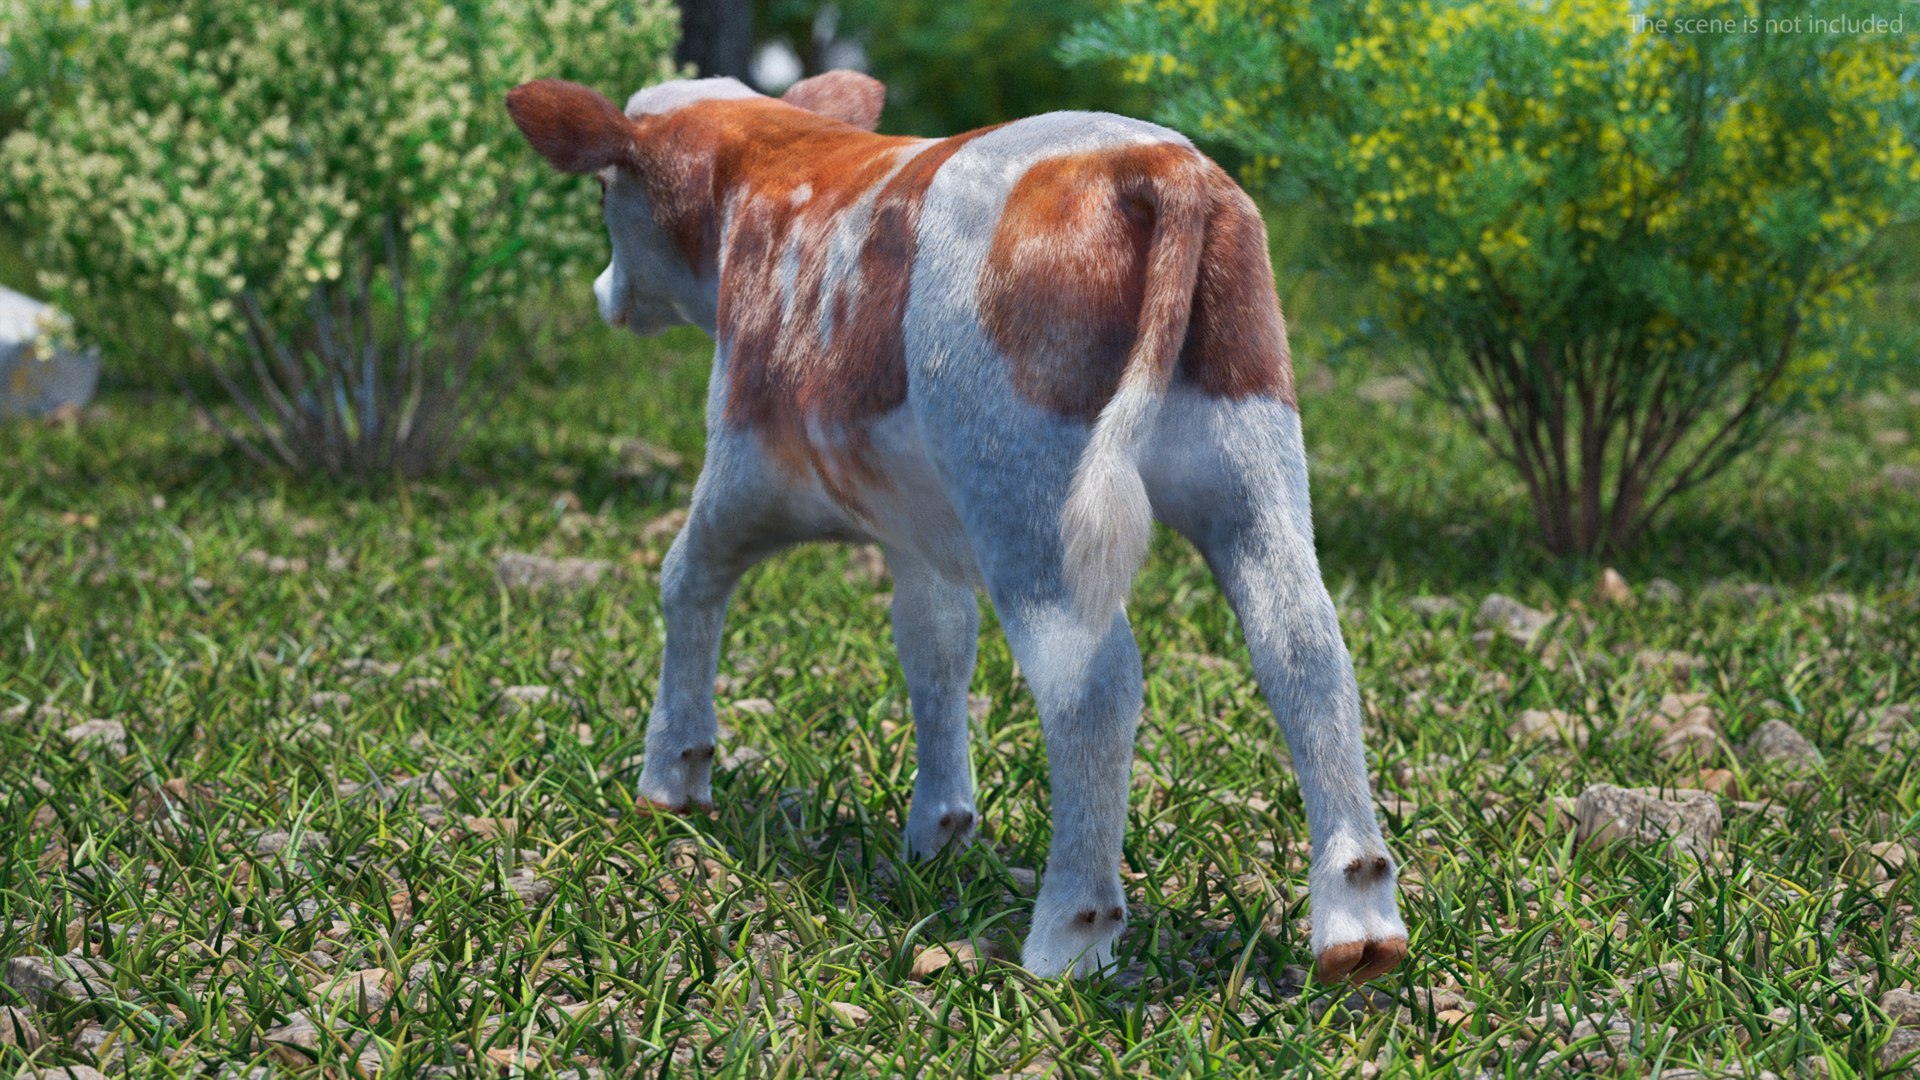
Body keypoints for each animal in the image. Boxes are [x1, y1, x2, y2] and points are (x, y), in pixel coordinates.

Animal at [505, 70, 1407, 983]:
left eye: (605, 189)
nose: (603, 295)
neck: (765, 166)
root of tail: (1156, 165)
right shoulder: (918, 532)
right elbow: (935, 645)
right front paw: (937, 833)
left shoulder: (746, 460)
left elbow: (686, 578)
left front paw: (672, 779)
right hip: (1251, 453)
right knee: (1302, 643)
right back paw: (1358, 921)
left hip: (1026, 485)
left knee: (1093, 681)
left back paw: (1070, 937)